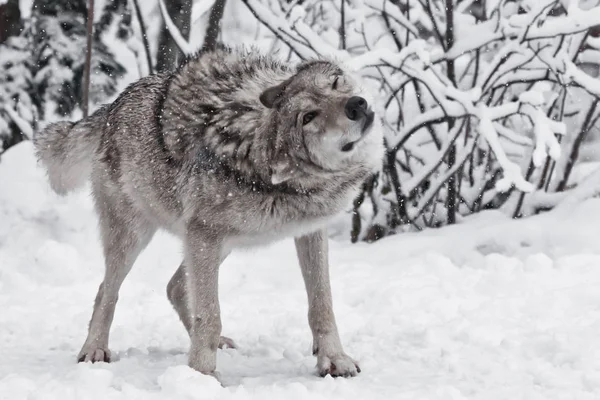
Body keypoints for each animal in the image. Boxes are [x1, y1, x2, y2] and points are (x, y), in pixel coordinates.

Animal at [34, 45, 384, 380]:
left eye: (336, 83)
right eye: (308, 117)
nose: (356, 105)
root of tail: (112, 106)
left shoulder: (309, 231)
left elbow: (322, 304)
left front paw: (335, 360)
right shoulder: (204, 235)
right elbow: (210, 314)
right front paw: (202, 376)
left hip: (218, 244)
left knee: (174, 286)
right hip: (138, 239)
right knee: (107, 290)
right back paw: (94, 349)